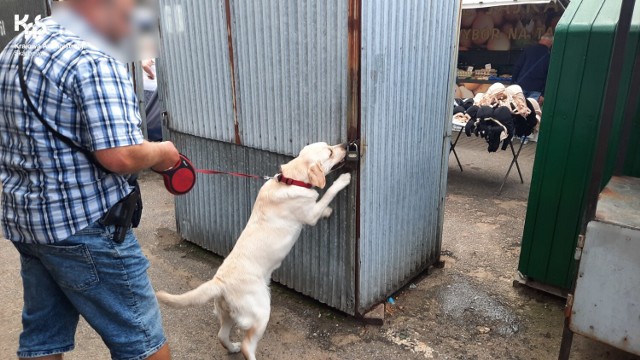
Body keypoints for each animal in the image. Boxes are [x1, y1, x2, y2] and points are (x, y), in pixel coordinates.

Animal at [158, 142, 352, 358]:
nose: (345, 145)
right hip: (260, 311)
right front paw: (343, 180)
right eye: (330, 152)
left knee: (222, 335)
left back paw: (232, 347)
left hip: (227, 314)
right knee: (247, 344)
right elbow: (327, 194)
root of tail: (219, 282)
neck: (291, 179)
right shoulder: (309, 214)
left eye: (330, 145)